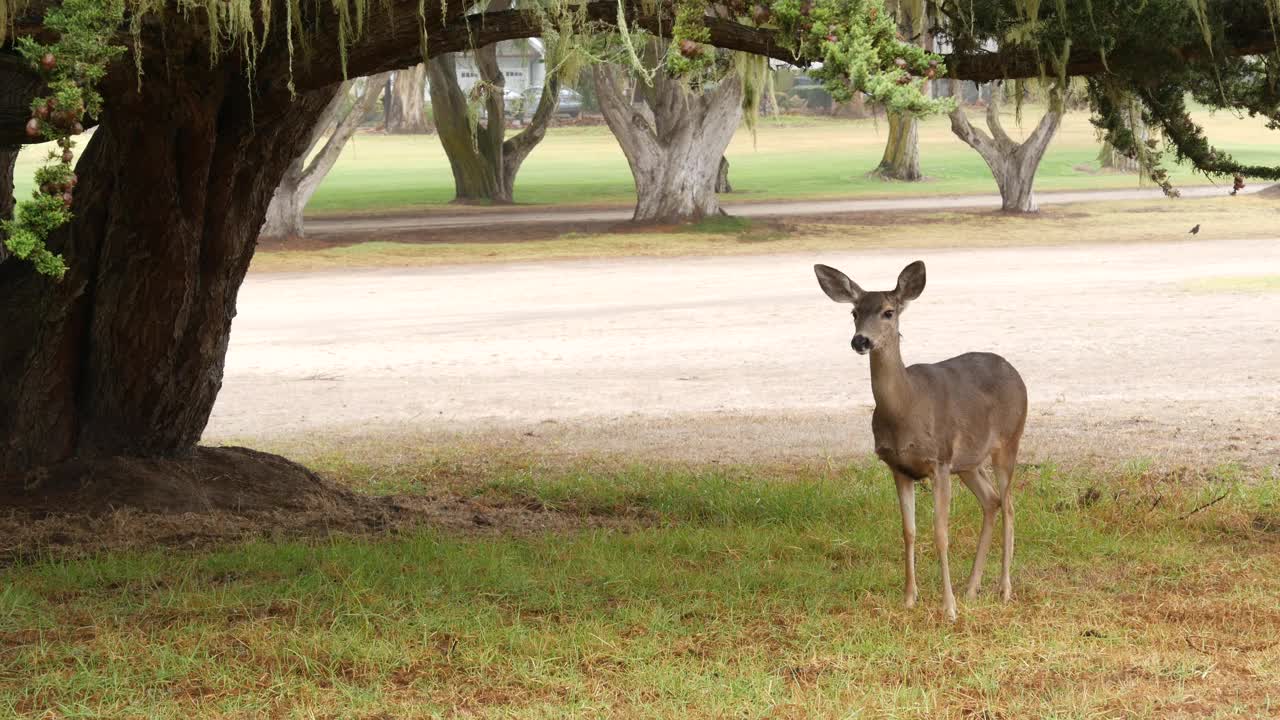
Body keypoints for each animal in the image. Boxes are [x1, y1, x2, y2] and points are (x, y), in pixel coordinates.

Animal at [819, 260, 1029, 620]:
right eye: (854, 312)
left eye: (888, 312)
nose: (860, 341)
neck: (905, 408)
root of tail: (1016, 373)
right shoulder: (898, 467)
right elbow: (909, 532)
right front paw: (909, 598)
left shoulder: (939, 460)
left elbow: (941, 533)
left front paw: (949, 609)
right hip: (969, 461)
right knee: (991, 500)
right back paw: (972, 587)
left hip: (1008, 440)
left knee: (1011, 505)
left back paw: (1003, 589)